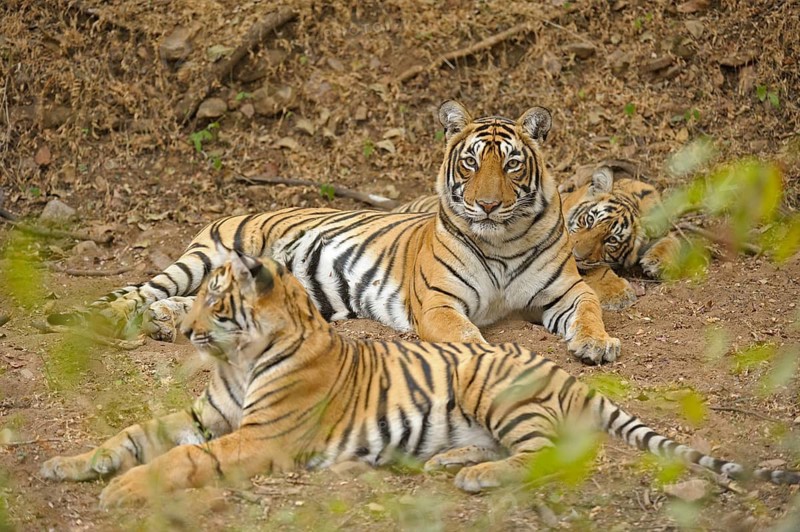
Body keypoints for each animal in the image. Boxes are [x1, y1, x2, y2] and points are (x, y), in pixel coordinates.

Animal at [40, 254, 800, 508]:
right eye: (197, 297)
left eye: (216, 302)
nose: (185, 331)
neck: (240, 357)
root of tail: (559, 370)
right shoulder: (206, 417)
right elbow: (133, 434)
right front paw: (66, 464)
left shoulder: (252, 438)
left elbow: (181, 461)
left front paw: (122, 492)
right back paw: (451, 463)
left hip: (495, 389)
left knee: (546, 457)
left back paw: (474, 477)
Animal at [49, 100, 620, 364]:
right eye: (471, 162)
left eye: (512, 165)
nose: (486, 204)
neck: (501, 240)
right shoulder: (439, 302)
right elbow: (465, 335)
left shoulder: (568, 290)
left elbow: (590, 310)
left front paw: (597, 344)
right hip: (209, 256)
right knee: (140, 292)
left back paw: (166, 322)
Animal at [390, 163, 681, 311]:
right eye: (588, 220)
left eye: (611, 241)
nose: (577, 254)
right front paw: (618, 292)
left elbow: (673, 237)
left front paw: (658, 262)